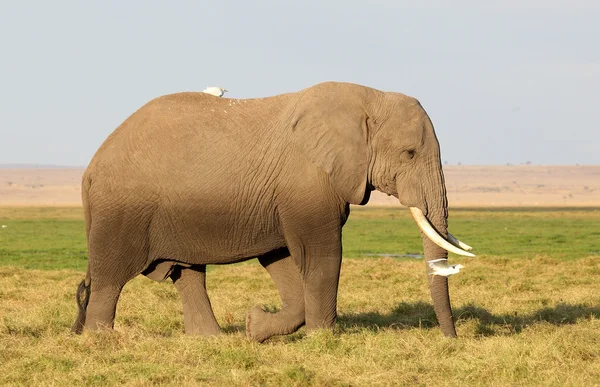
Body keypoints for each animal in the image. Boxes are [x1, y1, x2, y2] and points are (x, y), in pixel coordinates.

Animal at [70, 82, 474, 342]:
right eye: (409, 153)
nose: (450, 340)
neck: (368, 99)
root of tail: (89, 168)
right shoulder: (307, 183)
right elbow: (321, 257)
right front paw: (321, 340)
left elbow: (282, 260)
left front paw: (254, 328)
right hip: (121, 210)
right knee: (110, 278)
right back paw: (100, 341)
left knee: (188, 274)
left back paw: (211, 341)